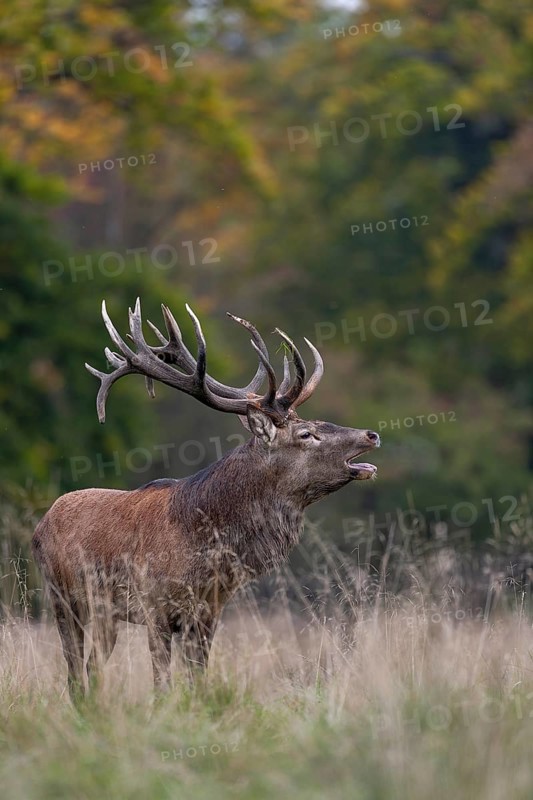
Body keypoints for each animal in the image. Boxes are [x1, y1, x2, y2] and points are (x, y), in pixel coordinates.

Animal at [32, 299, 380, 699]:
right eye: (306, 433)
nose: (371, 434)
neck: (203, 549)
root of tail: (40, 526)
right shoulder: (154, 605)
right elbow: (162, 682)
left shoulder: (209, 611)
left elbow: (198, 679)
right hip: (63, 598)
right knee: (74, 672)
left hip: (105, 613)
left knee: (92, 667)